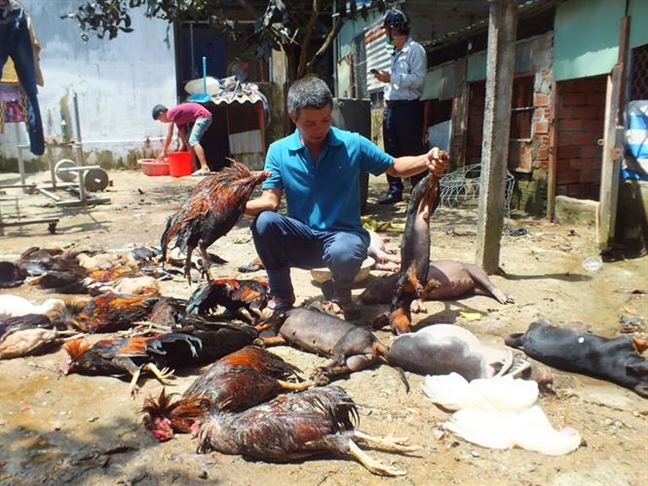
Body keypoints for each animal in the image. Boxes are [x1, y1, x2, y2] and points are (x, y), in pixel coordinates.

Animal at [258, 308, 390, 384]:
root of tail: (374, 339)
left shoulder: (281, 314)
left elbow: (262, 324)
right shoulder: (283, 338)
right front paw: (261, 341)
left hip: (341, 345)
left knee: (340, 361)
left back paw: (321, 370)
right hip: (358, 359)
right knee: (343, 367)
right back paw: (323, 375)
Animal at [360, 260, 512, 306]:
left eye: (371, 285)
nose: (361, 297)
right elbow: (419, 296)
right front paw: (416, 306)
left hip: (476, 272)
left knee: (491, 286)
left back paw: (505, 299)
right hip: (474, 288)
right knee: (486, 290)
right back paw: (509, 298)